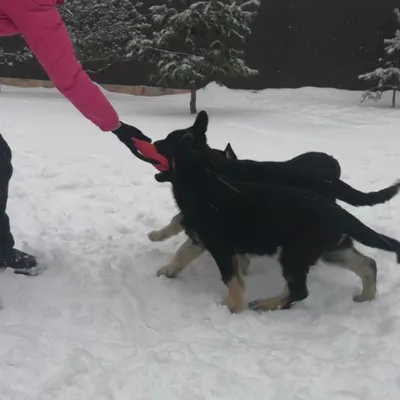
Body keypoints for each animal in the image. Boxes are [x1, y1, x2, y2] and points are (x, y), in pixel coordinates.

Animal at [152, 111, 398, 312]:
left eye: (168, 140)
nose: (153, 141)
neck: (204, 177)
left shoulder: (219, 245)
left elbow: (232, 278)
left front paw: (233, 308)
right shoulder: (202, 238)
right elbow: (182, 253)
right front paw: (168, 270)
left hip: (295, 253)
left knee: (299, 290)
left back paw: (266, 304)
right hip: (331, 249)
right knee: (367, 264)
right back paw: (366, 296)